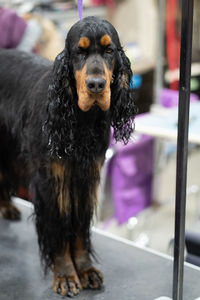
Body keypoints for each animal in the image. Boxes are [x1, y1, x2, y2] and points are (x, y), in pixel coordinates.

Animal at [0, 17, 136, 298]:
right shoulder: (51, 182)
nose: (96, 85)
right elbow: (59, 231)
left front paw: (85, 270)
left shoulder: (85, 179)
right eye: (79, 52)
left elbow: (79, 231)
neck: (81, 120)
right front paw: (65, 275)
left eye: (109, 50)